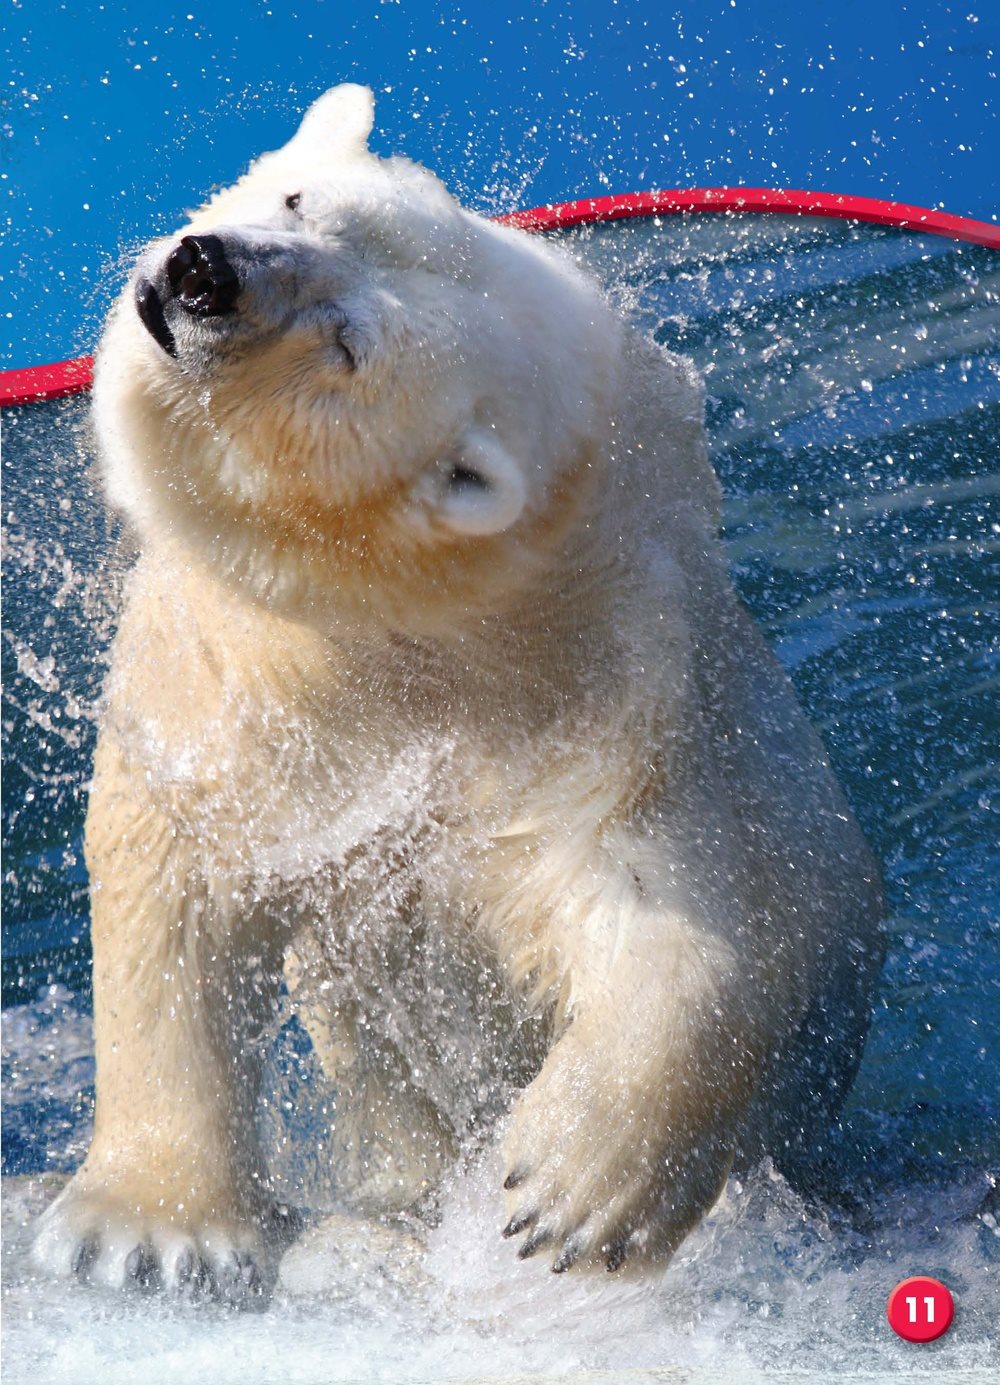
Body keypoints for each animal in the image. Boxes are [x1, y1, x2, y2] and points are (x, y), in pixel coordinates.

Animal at [31, 83, 875, 1296]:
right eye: (295, 198)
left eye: (347, 343)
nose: (204, 271)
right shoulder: (235, 676)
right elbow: (177, 875)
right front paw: (144, 1229)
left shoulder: (616, 692)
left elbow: (682, 905)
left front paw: (570, 1190)